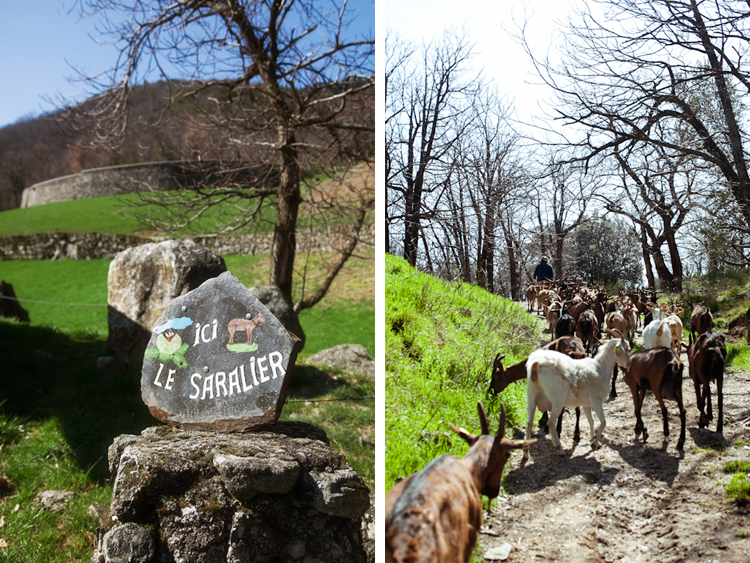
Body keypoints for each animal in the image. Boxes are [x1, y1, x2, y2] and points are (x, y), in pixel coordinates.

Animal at [524, 330, 636, 458]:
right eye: (626, 349)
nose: (629, 363)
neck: (601, 368)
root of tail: (536, 363)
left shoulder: (586, 404)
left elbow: (591, 421)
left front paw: (594, 441)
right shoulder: (596, 401)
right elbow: (603, 422)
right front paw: (594, 443)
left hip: (531, 395)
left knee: (529, 423)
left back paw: (526, 453)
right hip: (557, 399)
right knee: (551, 423)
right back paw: (559, 449)